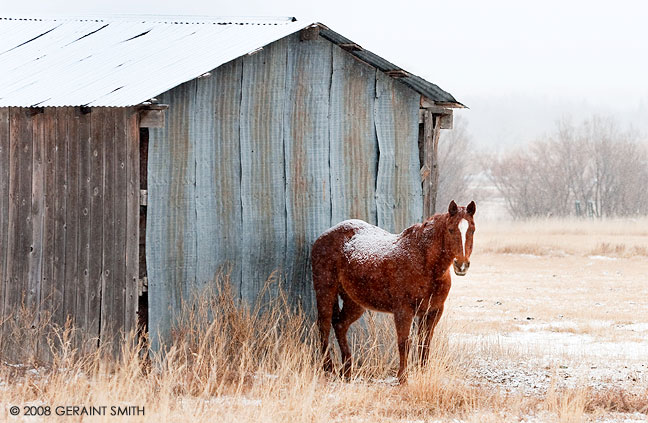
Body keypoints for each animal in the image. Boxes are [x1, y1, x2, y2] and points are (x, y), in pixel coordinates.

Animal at [312, 200, 474, 382]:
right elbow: (404, 342)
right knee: (324, 326)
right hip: (325, 291)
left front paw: (423, 372)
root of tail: (323, 237)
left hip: (354, 302)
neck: (423, 261)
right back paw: (329, 368)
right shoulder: (403, 311)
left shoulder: (433, 311)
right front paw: (402, 377)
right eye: (451, 230)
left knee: (340, 325)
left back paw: (347, 370)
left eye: (472, 229)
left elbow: (425, 341)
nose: (461, 265)